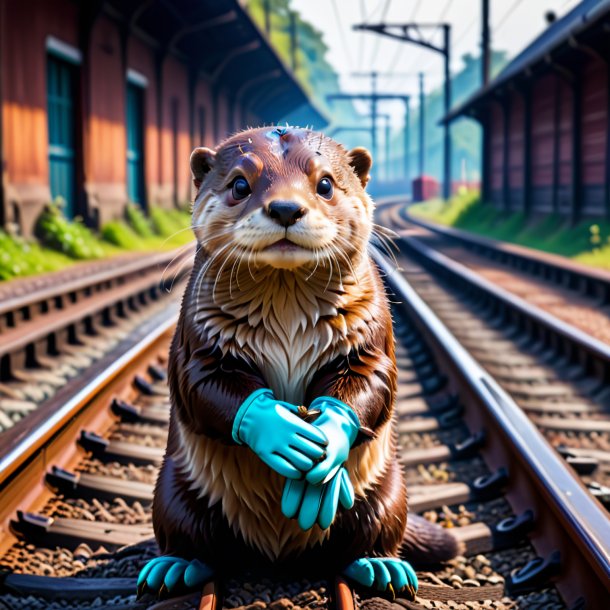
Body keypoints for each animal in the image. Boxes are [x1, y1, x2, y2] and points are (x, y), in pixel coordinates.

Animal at [137, 126, 456, 596]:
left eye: (325, 184)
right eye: (239, 184)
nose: (286, 207)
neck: (287, 319)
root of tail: (277, 556)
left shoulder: (370, 332)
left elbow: (375, 380)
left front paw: (329, 436)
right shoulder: (198, 336)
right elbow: (199, 385)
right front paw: (281, 432)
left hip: (388, 492)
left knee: (368, 534)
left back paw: (382, 567)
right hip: (174, 490)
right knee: (191, 536)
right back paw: (175, 568)